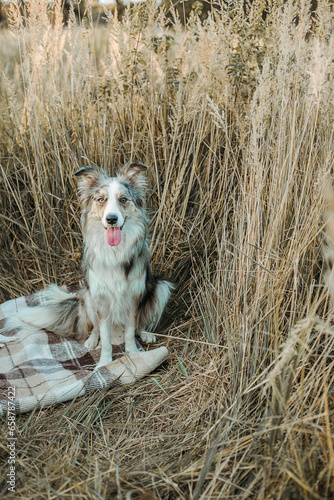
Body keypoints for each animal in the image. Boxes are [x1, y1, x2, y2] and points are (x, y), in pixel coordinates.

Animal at [6, 162, 174, 370]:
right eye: (101, 200)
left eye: (123, 199)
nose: (111, 219)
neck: (114, 251)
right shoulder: (100, 297)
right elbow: (105, 336)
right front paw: (104, 363)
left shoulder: (133, 295)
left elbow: (130, 329)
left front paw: (134, 354)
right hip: (87, 296)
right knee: (95, 327)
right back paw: (92, 340)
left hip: (160, 287)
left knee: (140, 321)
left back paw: (146, 333)